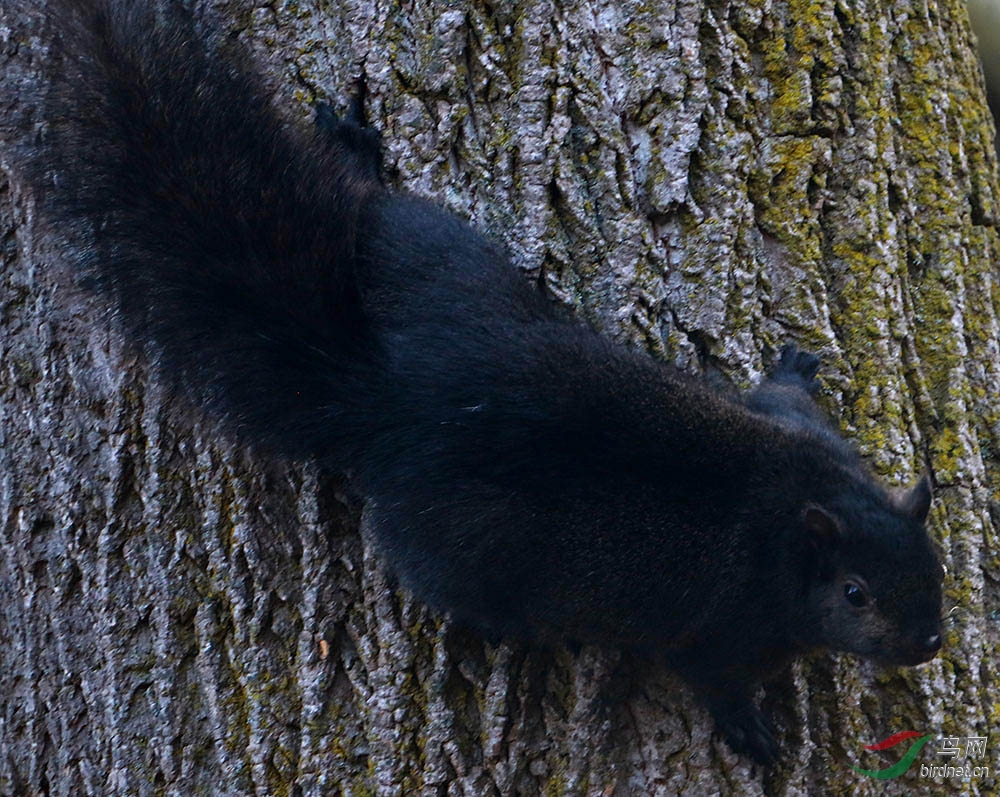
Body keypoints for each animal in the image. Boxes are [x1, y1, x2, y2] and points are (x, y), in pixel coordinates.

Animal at [3, 0, 944, 764]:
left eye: (930, 558)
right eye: (855, 593)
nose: (931, 641)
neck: (798, 514)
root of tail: (390, 396)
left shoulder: (813, 443)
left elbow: (779, 398)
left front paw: (794, 364)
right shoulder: (719, 623)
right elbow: (711, 675)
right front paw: (750, 732)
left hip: (439, 256)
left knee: (375, 213)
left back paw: (353, 151)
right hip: (467, 547)